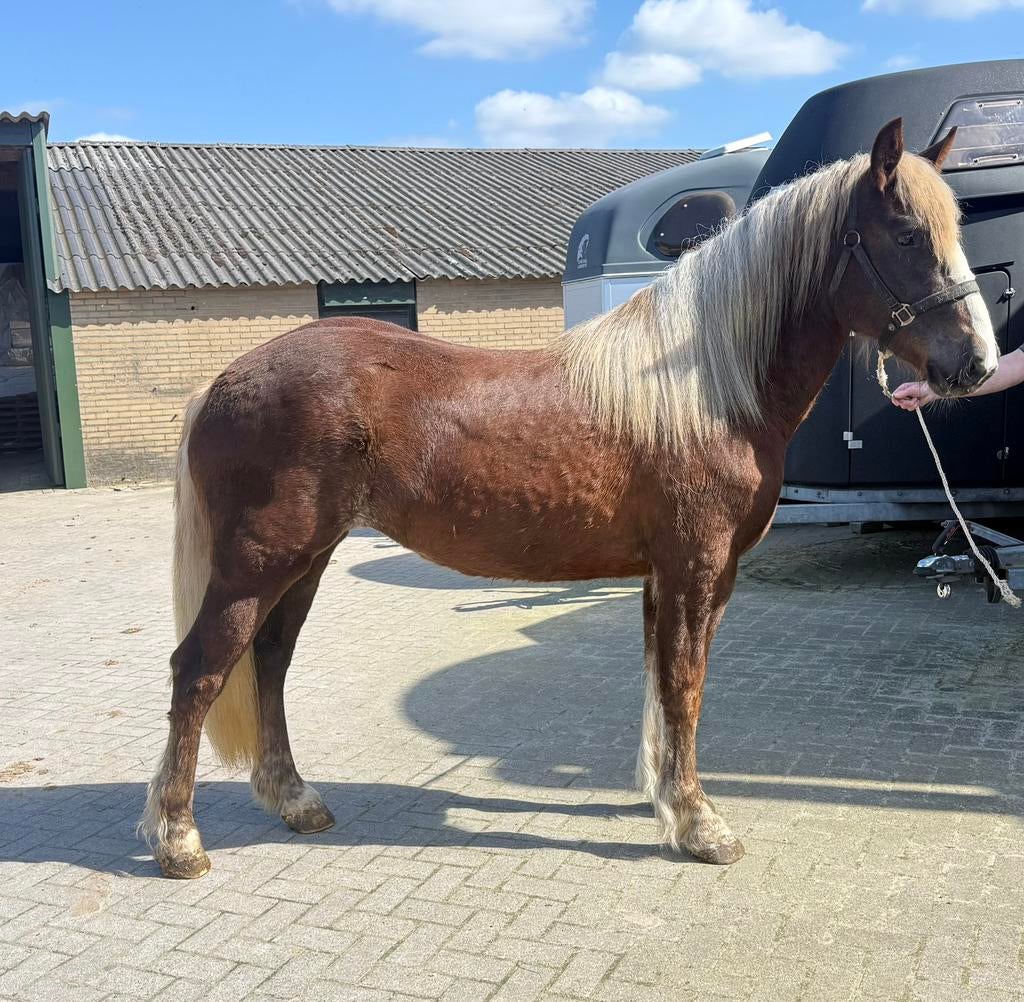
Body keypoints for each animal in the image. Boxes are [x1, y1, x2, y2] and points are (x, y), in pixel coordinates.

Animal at [140, 119, 997, 879]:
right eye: (907, 235)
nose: (978, 363)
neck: (705, 390)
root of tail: (226, 379)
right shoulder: (694, 571)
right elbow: (685, 685)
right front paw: (700, 825)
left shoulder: (671, 578)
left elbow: (663, 683)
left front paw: (663, 801)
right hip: (259, 564)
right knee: (201, 670)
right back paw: (179, 839)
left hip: (306, 560)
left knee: (269, 663)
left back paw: (295, 800)